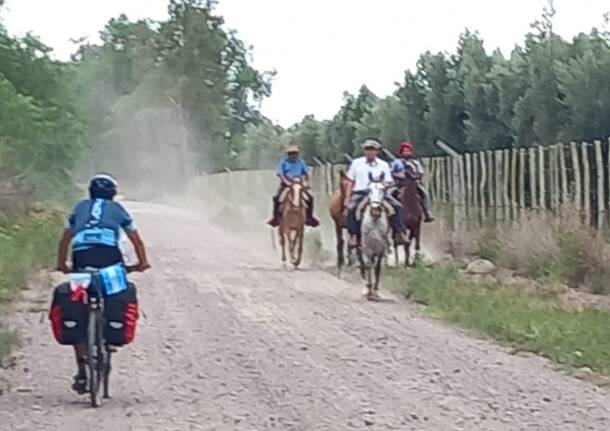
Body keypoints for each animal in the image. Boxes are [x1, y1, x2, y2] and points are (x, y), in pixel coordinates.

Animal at [356, 172, 390, 300]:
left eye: (383, 189)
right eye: (369, 190)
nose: (375, 210)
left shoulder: (380, 249)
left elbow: (377, 268)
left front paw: (375, 291)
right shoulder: (367, 248)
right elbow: (368, 266)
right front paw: (369, 290)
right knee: (363, 264)